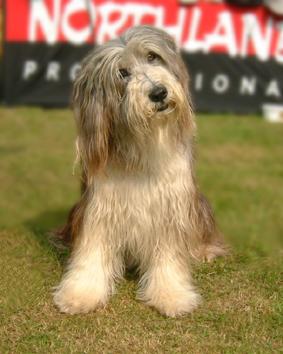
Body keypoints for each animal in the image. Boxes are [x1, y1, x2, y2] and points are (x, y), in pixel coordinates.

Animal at [54, 25, 227, 318]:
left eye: (152, 57)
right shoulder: (100, 206)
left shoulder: (170, 206)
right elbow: (92, 250)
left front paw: (171, 295)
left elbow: (169, 255)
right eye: (122, 73)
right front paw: (80, 293)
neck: (143, 141)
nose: (158, 93)